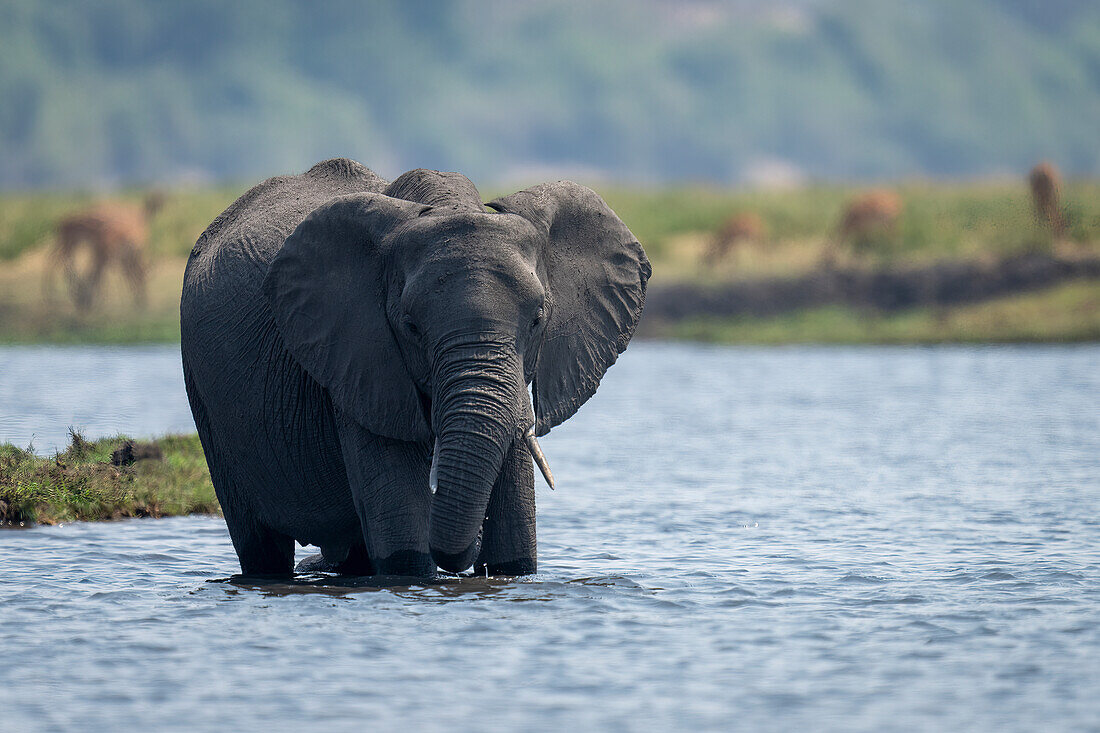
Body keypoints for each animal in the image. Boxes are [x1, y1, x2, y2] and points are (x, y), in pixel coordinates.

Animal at [178, 159, 642, 576]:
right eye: (411, 327)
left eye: (538, 319)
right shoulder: (358, 358)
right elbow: (404, 541)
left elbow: (515, 543)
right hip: (203, 393)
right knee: (261, 548)